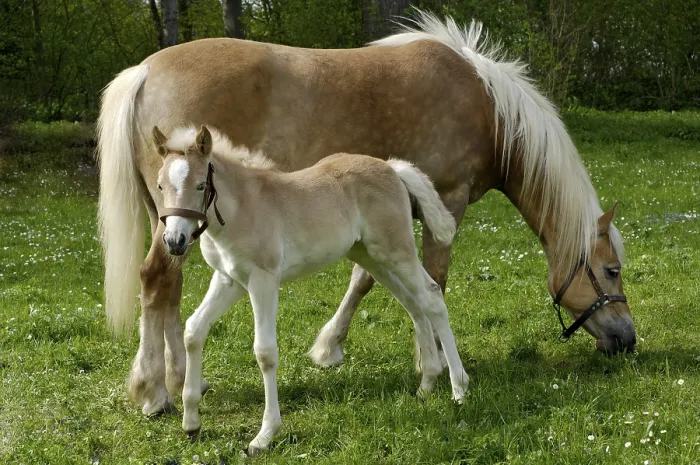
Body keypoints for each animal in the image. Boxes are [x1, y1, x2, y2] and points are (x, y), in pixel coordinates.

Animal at [96, 11, 636, 419]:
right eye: (611, 270)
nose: (627, 339)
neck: (486, 105)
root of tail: (144, 70)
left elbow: (369, 279)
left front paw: (334, 348)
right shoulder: (447, 204)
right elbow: (427, 283)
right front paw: (431, 361)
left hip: (174, 223)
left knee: (168, 289)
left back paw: (182, 381)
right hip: (177, 224)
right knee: (157, 280)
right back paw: (155, 391)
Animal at [151, 124, 468, 453]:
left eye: (201, 186)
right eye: (160, 186)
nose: (174, 241)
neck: (241, 209)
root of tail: (391, 167)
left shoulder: (263, 281)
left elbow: (265, 352)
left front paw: (265, 434)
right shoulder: (228, 280)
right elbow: (193, 330)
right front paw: (191, 422)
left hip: (396, 251)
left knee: (431, 297)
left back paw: (458, 388)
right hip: (371, 256)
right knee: (413, 303)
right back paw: (427, 384)